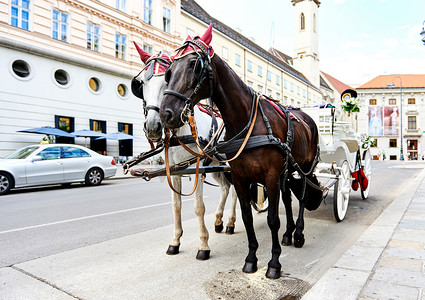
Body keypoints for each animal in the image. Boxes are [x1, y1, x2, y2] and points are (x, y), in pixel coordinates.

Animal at [132, 45, 237, 260]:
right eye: (143, 83)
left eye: (166, 80)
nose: (153, 126)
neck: (182, 131)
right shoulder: (175, 171)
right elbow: (176, 206)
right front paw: (175, 241)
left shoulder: (197, 169)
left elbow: (198, 207)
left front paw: (203, 245)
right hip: (215, 166)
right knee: (225, 188)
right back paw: (219, 221)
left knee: (235, 193)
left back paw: (231, 222)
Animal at [161, 25, 320, 278]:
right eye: (169, 71)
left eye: (194, 65)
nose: (166, 113)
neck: (246, 120)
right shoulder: (239, 176)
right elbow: (246, 217)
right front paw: (251, 259)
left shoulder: (271, 176)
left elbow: (273, 219)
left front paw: (274, 263)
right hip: (286, 171)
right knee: (287, 198)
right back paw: (288, 233)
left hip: (303, 168)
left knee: (302, 197)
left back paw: (298, 233)